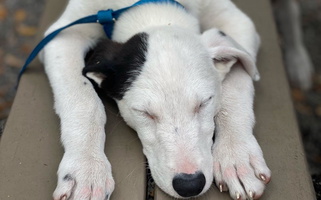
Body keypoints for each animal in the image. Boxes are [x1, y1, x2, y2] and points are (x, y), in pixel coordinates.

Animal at [40, 0, 270, 199]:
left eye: (205, 102)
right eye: (144, 113)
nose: (189, 184)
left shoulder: (235, 19)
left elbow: (237, 84)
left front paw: (237, 158)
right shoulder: (64, 34)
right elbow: (82, 99)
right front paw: (86, 169)